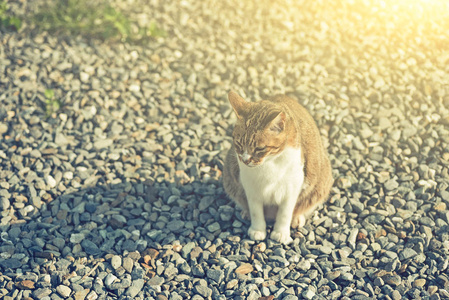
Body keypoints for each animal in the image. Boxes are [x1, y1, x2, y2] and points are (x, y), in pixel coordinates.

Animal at [221, 91, 330, 244]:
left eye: (260, 148)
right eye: (238, 144)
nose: (245, 160)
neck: (268, 164)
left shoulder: (292, 187)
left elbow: (285, 213)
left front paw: (281, 232)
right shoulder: (250, 186)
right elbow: (256, 211)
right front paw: (258, 230)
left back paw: (297, 218)